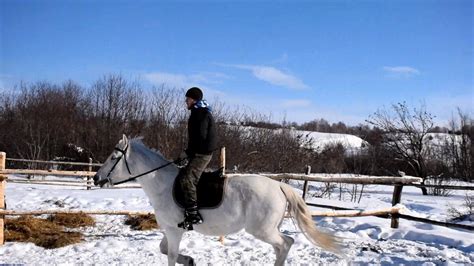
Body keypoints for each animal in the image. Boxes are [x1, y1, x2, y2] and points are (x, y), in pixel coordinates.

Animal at [93, 136, 340, 264]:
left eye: (114, 157)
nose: (96, 178)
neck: (161, 185)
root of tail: (279, 186)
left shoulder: (174, 231)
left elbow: (169, 255)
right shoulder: (171, 230)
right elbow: (163, 250)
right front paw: (190, 260)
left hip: (262, 230)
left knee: (285, 244)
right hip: (268, 229)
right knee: (284, 245)